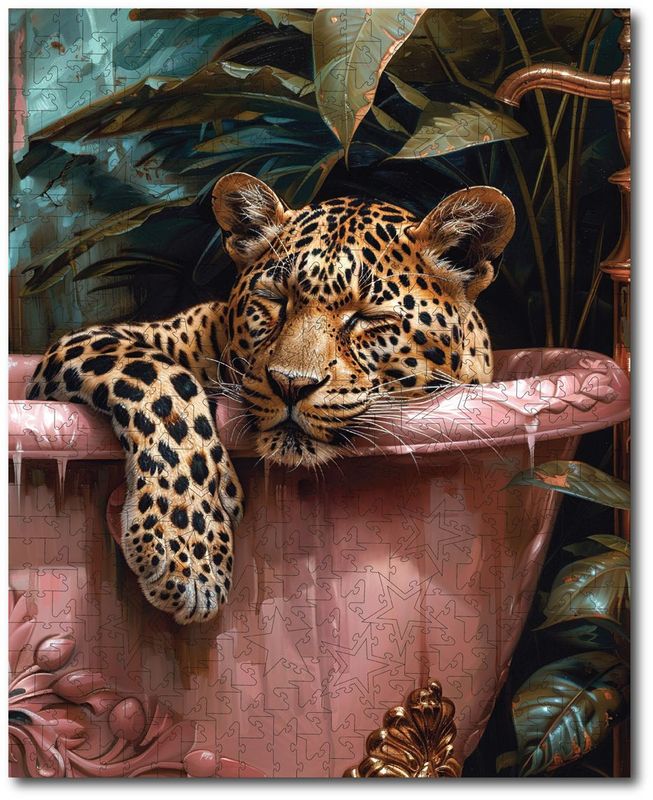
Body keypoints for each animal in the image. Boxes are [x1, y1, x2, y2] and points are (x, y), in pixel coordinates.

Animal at [27, 172, 515, 625]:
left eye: (368, 317)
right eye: (275, 299)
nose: (291, 384)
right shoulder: (93, 342)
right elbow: (162, 382)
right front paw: (188, 553)